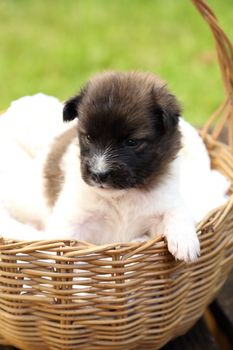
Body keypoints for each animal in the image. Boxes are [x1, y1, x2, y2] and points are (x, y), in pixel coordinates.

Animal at [43, 72, 200, 262]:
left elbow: (177, 212)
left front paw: (185, 241)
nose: (99, 174)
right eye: (88, 137)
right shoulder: (72, 218)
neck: (121, 198)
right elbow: (59, 241)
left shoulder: (163, 204)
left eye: (131, 142)